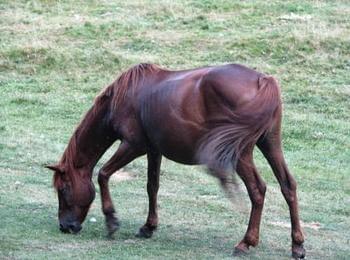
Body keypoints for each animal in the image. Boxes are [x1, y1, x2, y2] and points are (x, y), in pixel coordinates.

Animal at [47, 62, 306, 258]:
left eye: (64, 189)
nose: (65, 227)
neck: (123, 97)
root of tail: (264, 80)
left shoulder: (133, 146)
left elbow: (103, 175)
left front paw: (111, 221)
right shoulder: (153, 150)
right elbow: (152, 186)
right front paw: (148, 227)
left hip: (241, 154)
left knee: (257, 190)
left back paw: (245, 242)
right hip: (270, 144)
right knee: (288, 186)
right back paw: (297, 245)